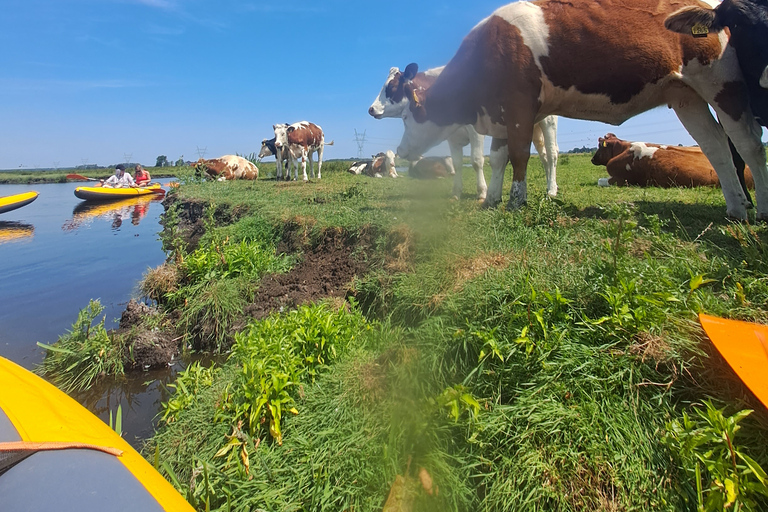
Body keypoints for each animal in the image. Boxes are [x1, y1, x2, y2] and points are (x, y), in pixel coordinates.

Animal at [368, 64, 560, 200]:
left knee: (552, 154)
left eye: (392, 87)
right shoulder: (452, 137)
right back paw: (549, 184)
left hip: (548, 121)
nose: (371, 109)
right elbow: (457, 163)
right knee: (543, 155)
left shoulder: (476, 132)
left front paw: (482, 192)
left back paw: (551, 189)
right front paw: (456, 192)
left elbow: (476, 161)